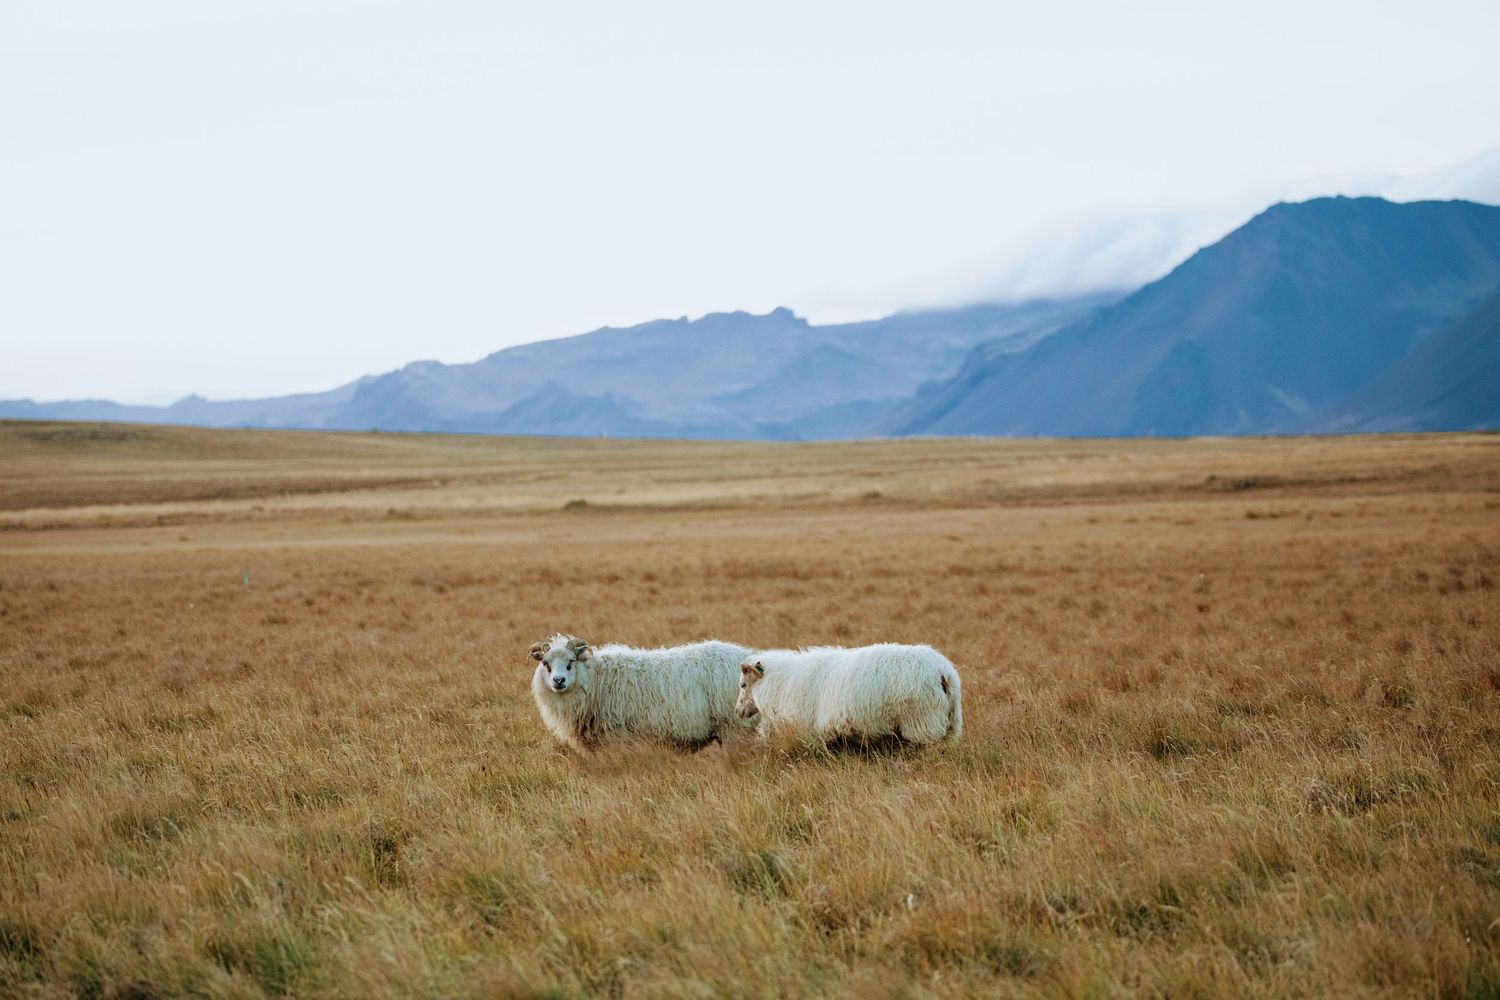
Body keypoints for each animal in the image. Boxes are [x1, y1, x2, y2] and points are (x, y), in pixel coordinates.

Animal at [735, 644, 962, 747]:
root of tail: (943, 671)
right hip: (950, 721)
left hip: (922, 721)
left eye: (743, 685)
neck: (781, 682)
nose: (737, 711)